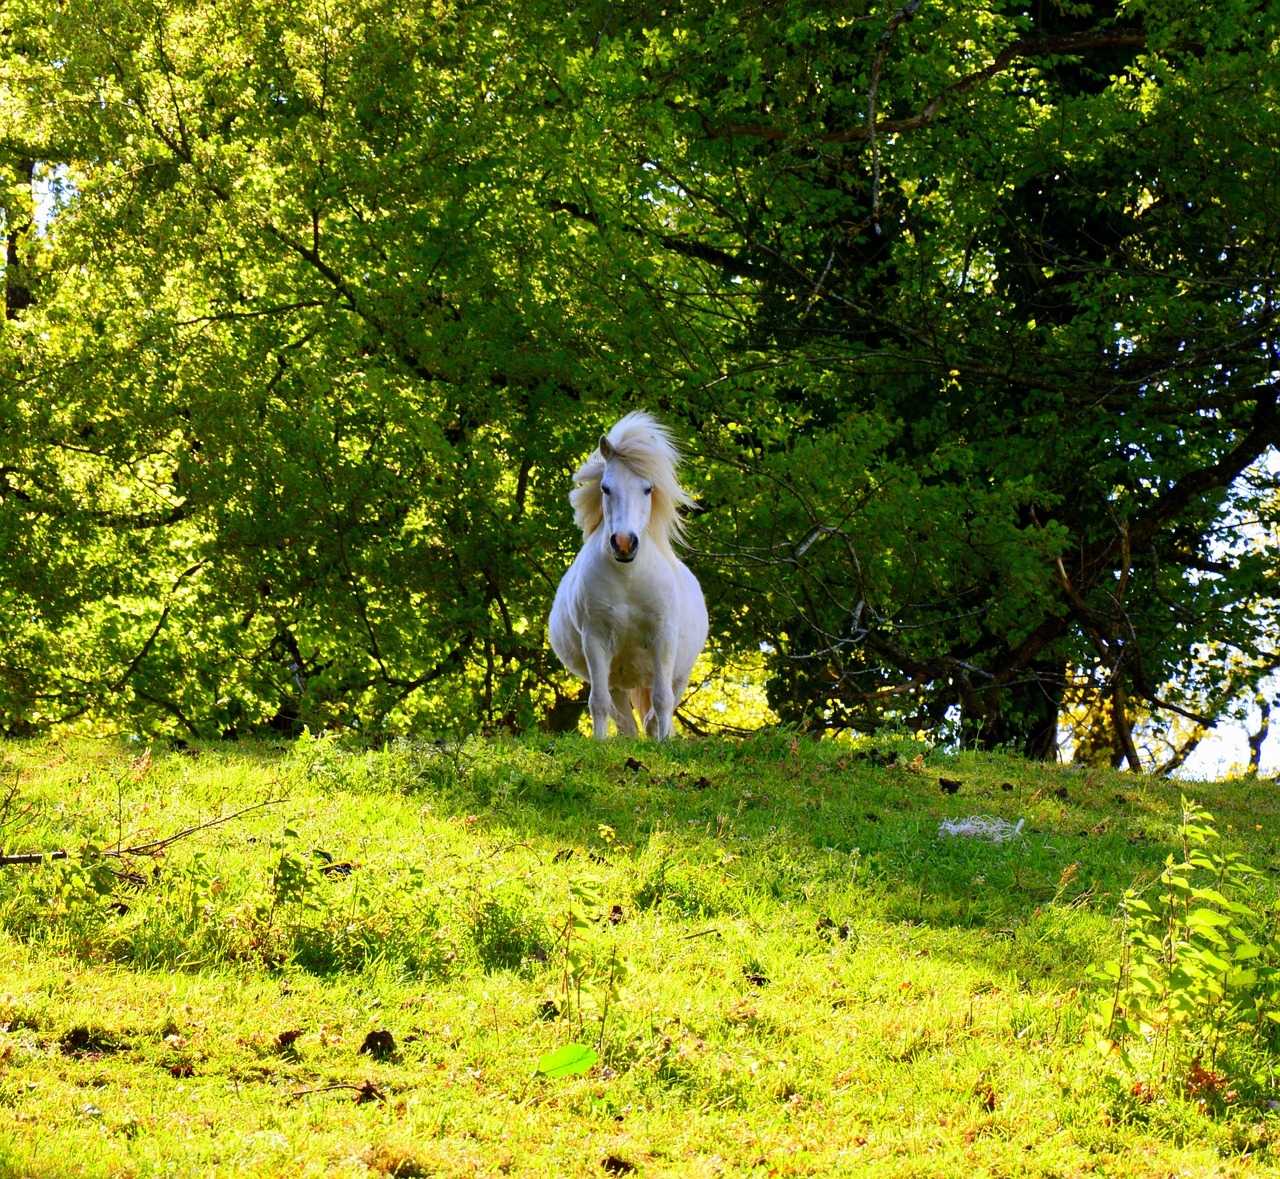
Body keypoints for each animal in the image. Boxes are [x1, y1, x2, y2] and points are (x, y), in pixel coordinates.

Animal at [547, 409, 711, 732]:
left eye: (648, 489)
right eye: (605, 488)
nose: (624, 543)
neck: (628, 580)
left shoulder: (663, 638)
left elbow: (661, 701)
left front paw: (663, 741)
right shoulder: (595, 640)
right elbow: (599, 704)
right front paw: (598, 742)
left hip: (679, 673)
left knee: (658, 708)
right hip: (616, 680)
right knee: (626, 723)